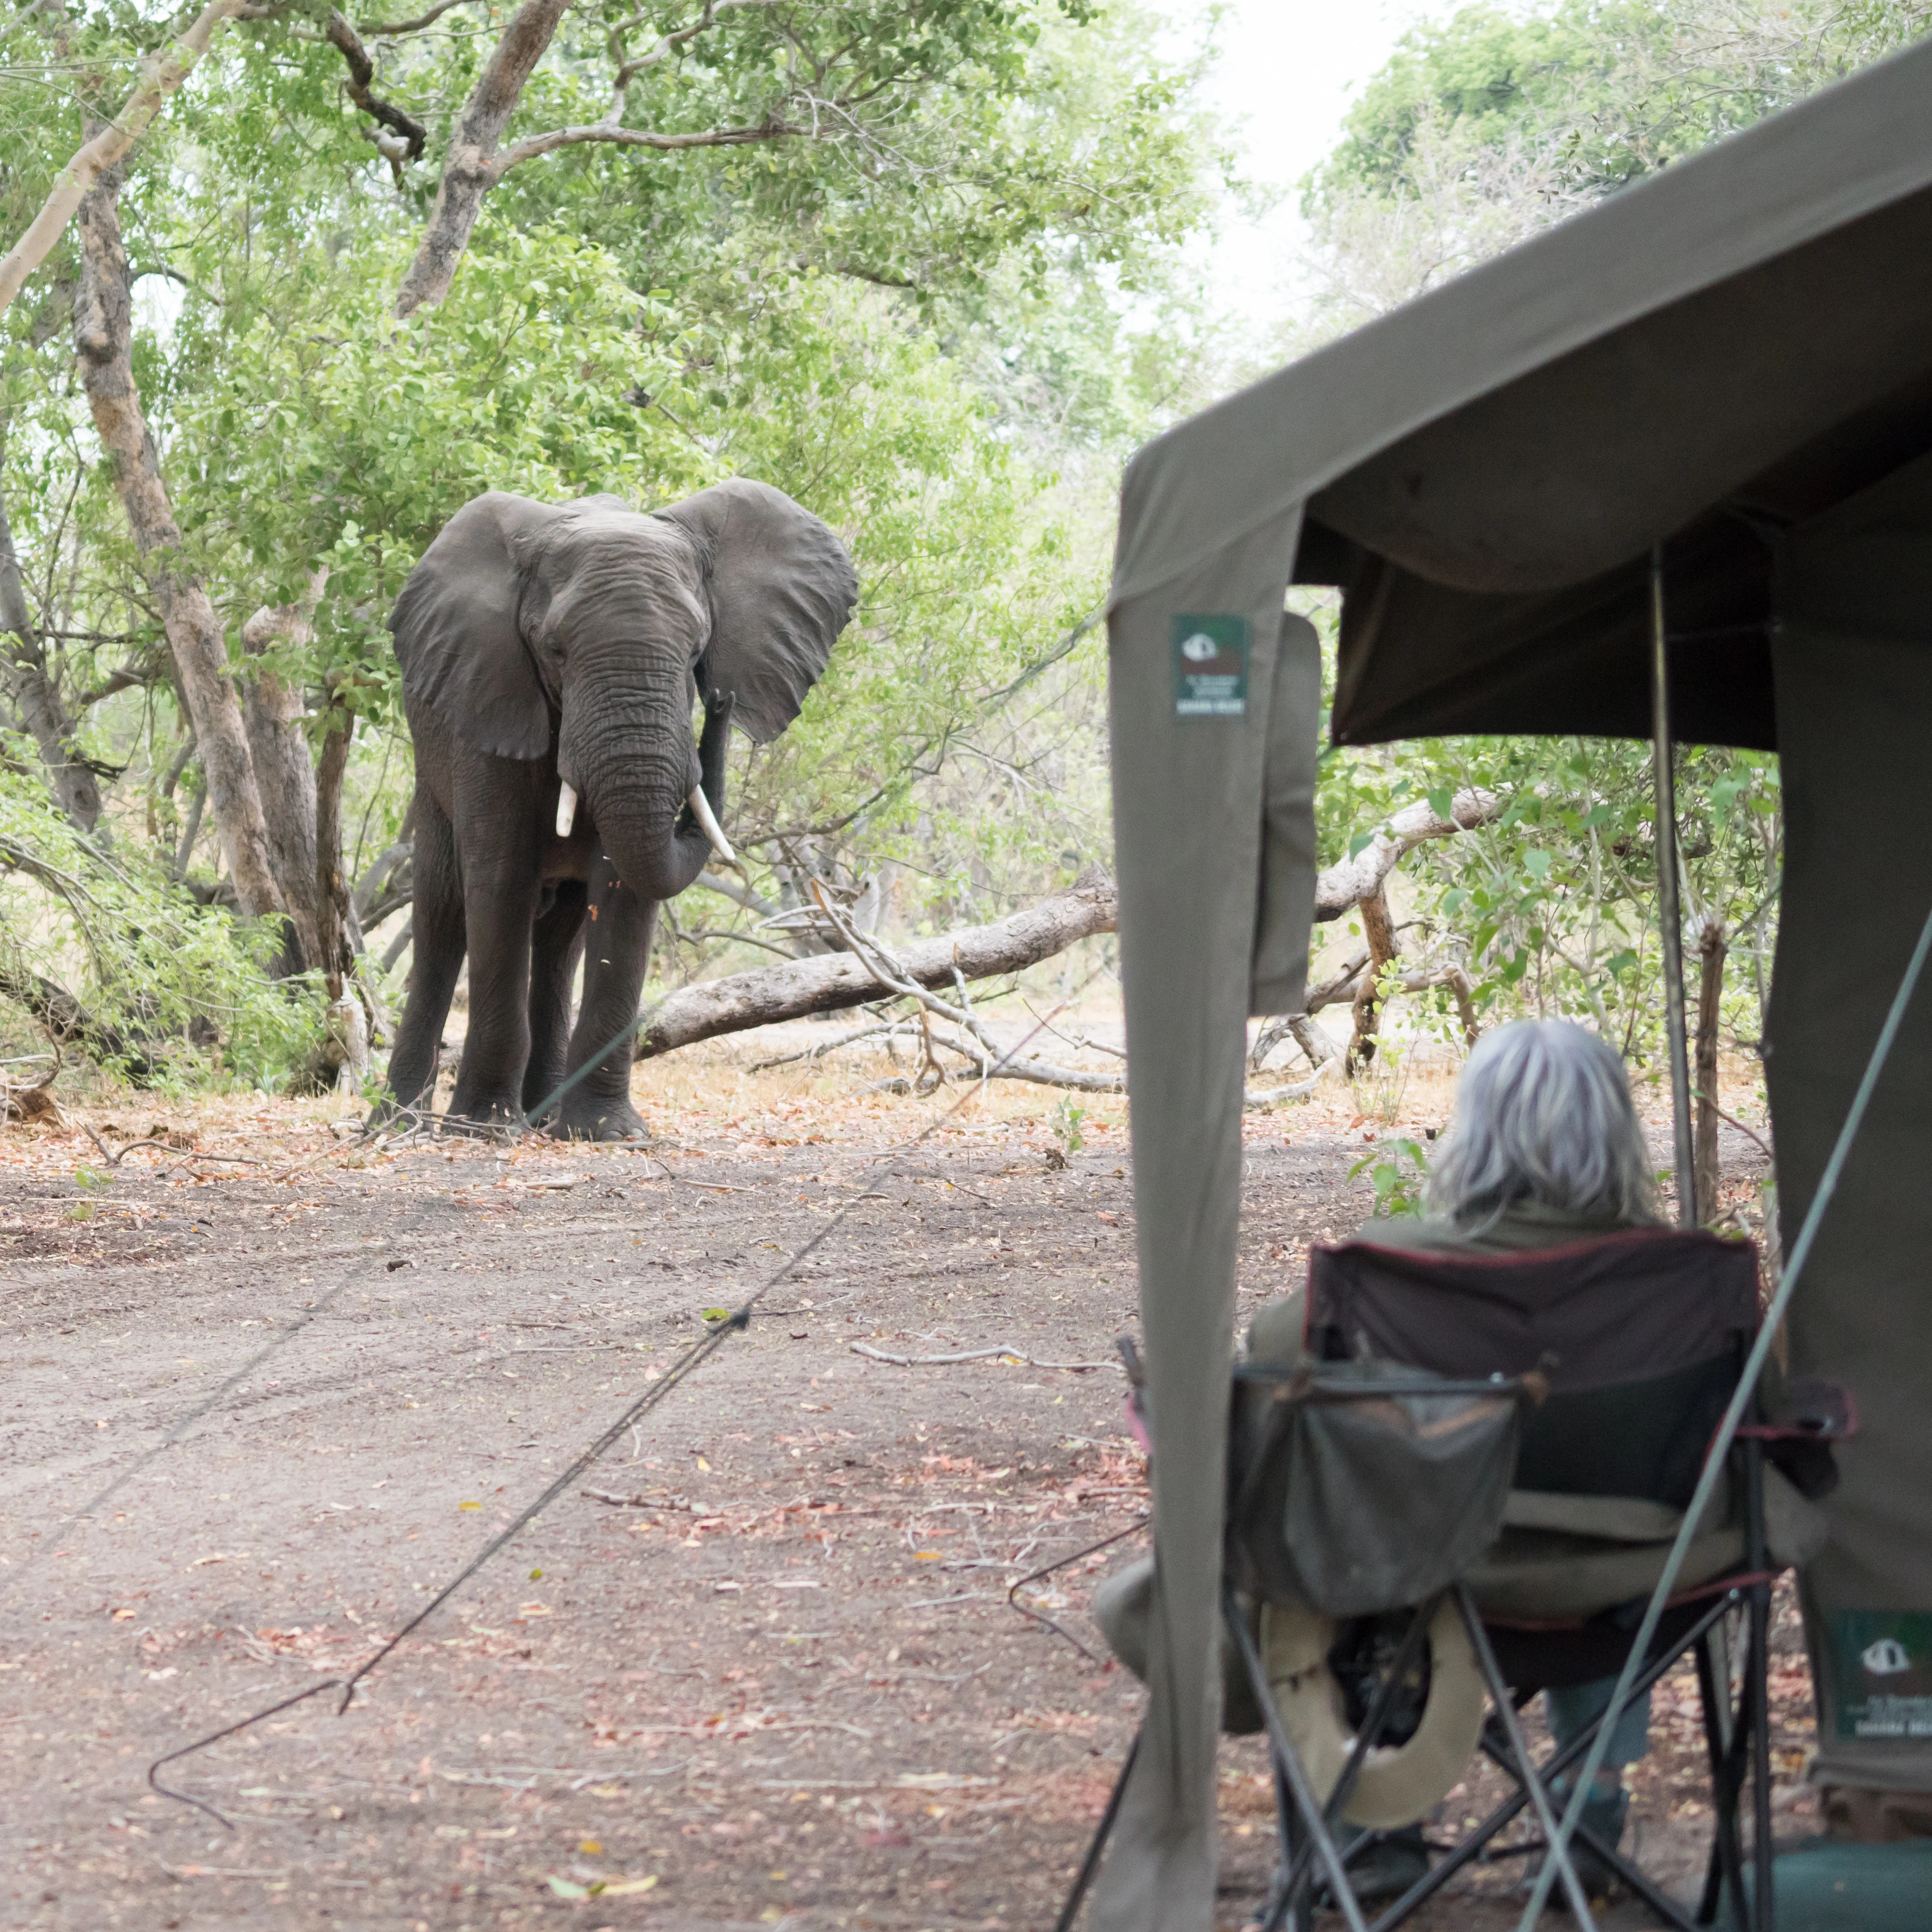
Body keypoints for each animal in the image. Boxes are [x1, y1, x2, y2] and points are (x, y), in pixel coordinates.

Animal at [380, 478, 857, 1139]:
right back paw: (395, 1125)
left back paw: (546, 1120)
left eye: (698, 648)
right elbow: (500, 880)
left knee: (561, 942)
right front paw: (482, 1129)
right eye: (554, 649)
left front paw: (609, 1134)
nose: (721, 699)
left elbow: (626, 889)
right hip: (432, 764)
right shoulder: (491, 700)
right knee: (443, 918)